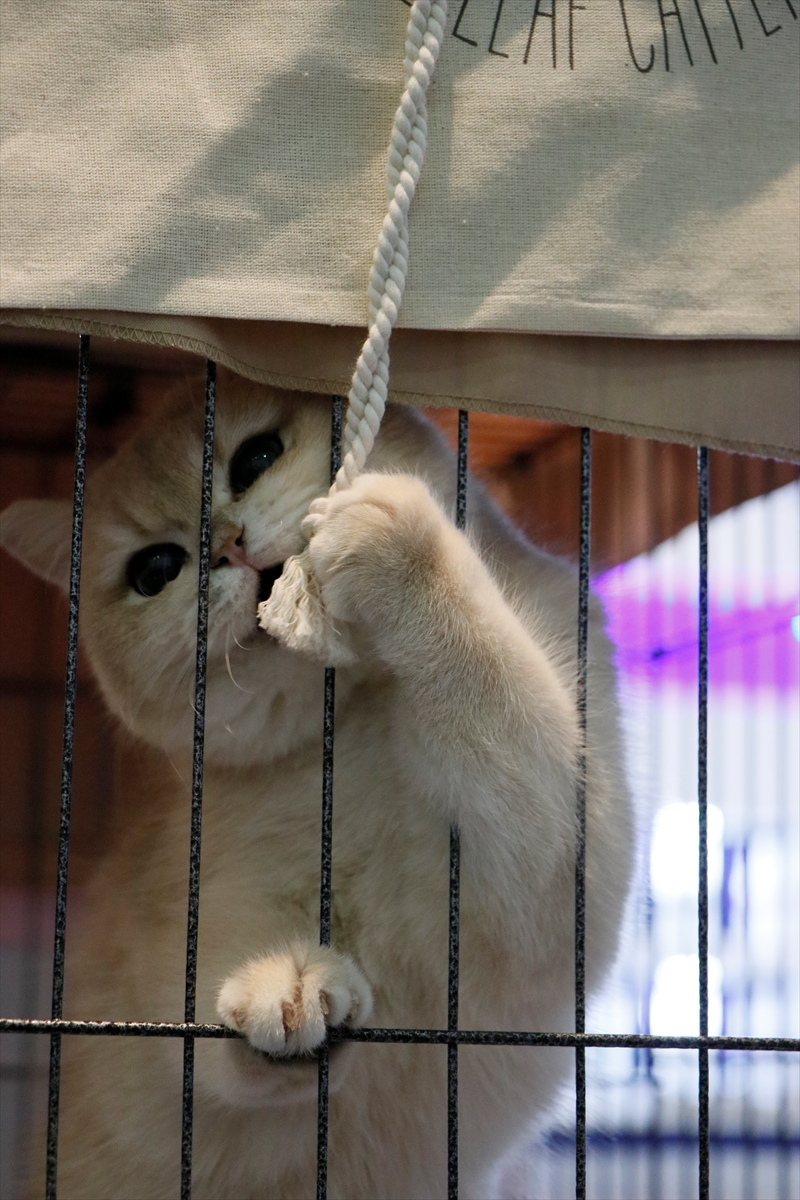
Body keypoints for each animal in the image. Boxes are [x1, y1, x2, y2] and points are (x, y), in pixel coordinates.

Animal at [1, 367, 633, 1200]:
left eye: (256, 457)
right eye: (155, 571)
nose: (227, 546)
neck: (349, 733)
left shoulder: (556, 884)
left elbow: (492, 685)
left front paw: (393, 542)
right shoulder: (168, 959)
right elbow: (200, 1038)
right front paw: (284, 989)